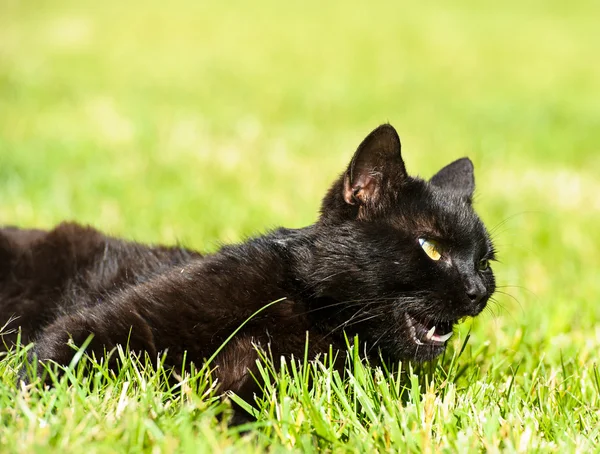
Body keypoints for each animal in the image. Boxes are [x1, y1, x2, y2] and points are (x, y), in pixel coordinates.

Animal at [1, 125, 496, 400]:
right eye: (430, 246)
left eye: (484, 262)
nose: (477, 291)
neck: (314, 310)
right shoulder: (104, 324)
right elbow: (50, 365)